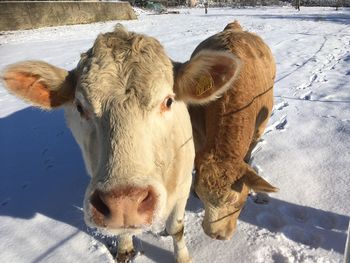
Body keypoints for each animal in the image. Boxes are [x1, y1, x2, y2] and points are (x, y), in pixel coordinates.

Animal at [0, 23, 242, 262]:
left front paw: (182, 257)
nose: (125, 202)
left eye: (168, 101)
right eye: (80, 106)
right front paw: (124, 247)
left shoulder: (183, 184)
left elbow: (176, 228)